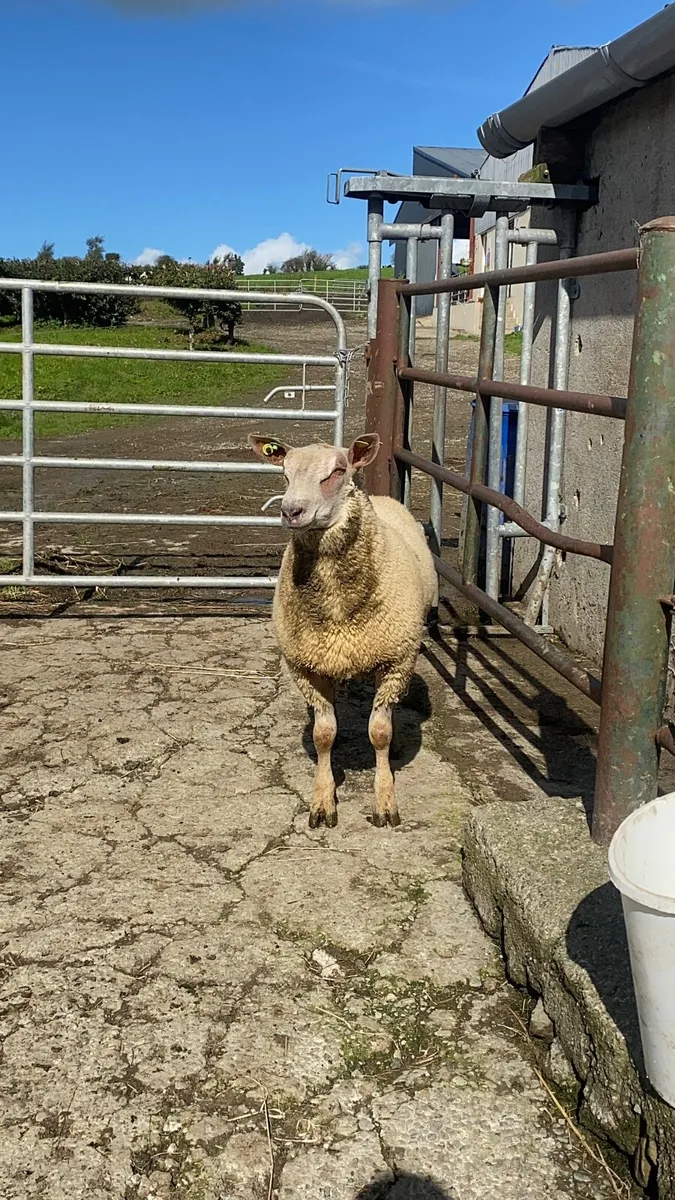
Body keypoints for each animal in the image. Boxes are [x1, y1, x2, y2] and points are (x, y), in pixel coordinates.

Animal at [249, 431, 438, 829]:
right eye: (285, 474)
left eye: (336, 471)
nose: (291, 511)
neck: (337, 605)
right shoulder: (305, 666)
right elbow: (323, 736)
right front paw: (322, 803)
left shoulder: (397, 659)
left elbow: (379, 733)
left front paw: (385, 803)